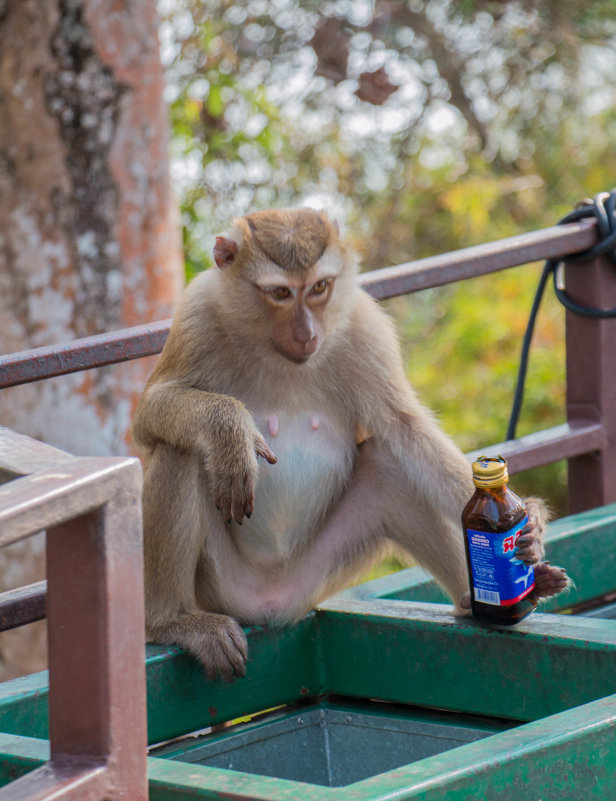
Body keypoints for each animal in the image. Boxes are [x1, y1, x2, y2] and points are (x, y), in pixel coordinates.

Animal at [132, 208, 572, 680]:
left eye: (319, 287)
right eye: (281, 292)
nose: (307, 334)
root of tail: (269, 605)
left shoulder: (363, 325)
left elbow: (405, 429)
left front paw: (530, 522)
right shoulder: (198, 314)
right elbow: (149, 416)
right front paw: (231, 429)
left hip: (315, 578)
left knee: (387, 468)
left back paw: (480, 602)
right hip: (223, 587)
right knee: (181, 450)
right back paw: (174, 621)